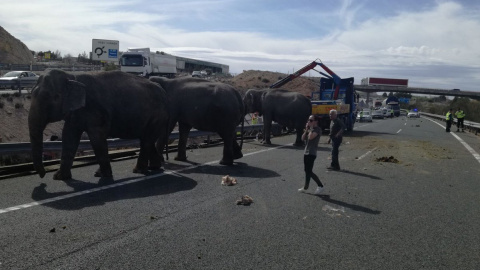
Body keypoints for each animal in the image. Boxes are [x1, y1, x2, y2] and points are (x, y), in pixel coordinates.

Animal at [28, 68, 170, 182]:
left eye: (55, 97)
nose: (42, 175)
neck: (72, 77)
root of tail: (163, 91)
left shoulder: (95, 110)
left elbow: (96, 138)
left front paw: (103, 175)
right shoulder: (76, 112)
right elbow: (69, 136)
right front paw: (59, 177)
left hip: (157, 116)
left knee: (146, 140)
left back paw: (138, 170)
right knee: (146, 140)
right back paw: (154, 167)